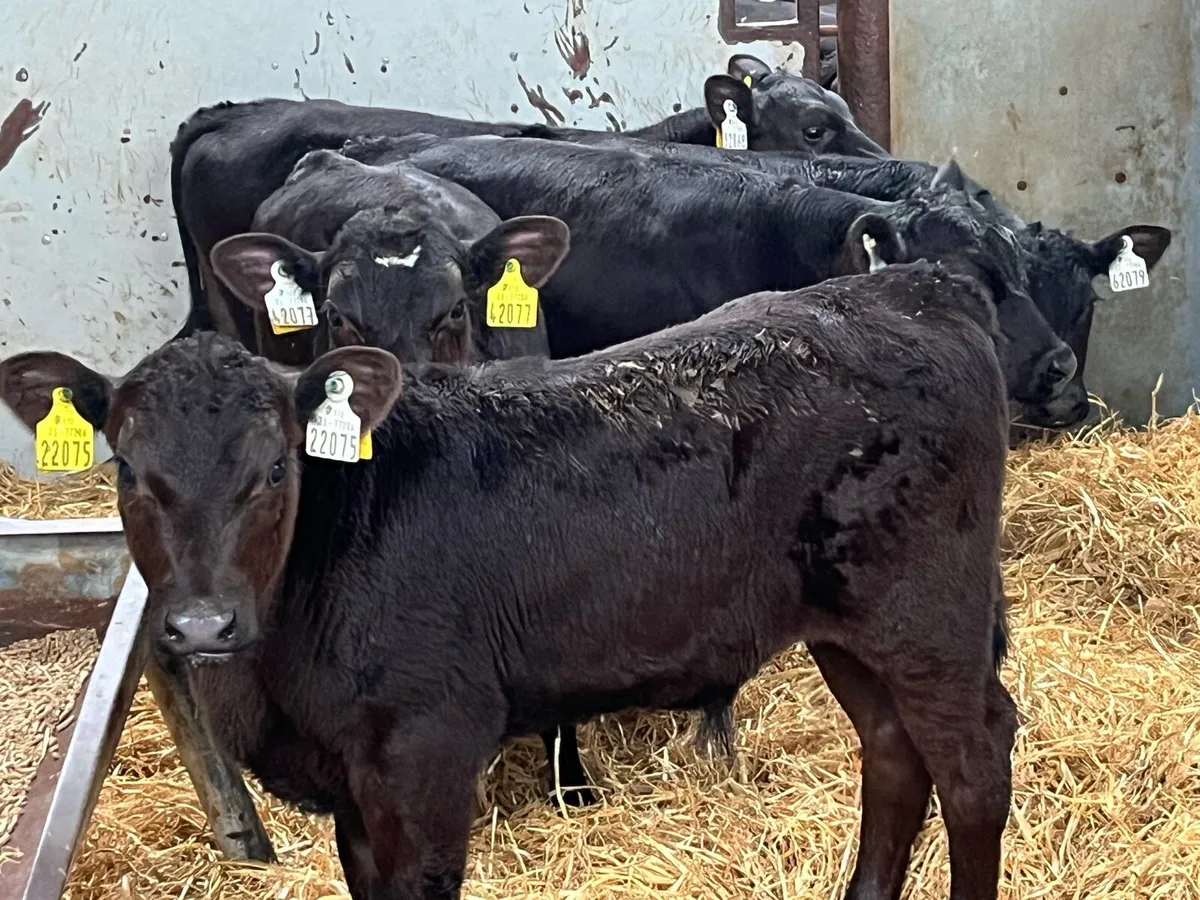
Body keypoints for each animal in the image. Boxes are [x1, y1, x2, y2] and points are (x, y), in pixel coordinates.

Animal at [0, 261, 1017, 900]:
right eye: (129, 472)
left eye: (277, 470)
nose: (204, 626)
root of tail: (914, 284)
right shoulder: (353, 786)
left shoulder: (426, 751)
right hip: (846, 622)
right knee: (893, 754)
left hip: (929, 612)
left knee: (974, 764)